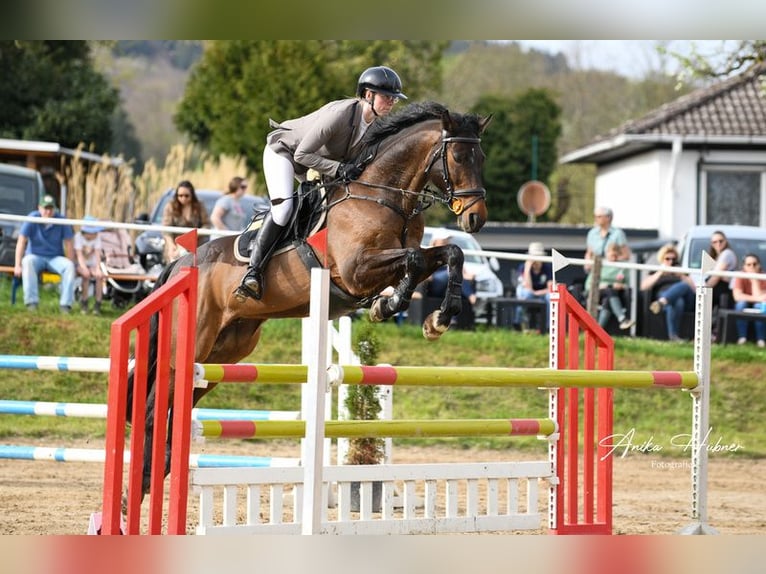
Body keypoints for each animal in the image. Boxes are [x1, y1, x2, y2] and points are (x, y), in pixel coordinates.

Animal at [129, 101, 492, 498]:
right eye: (458, 156)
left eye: (481, 157)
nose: (476, 219)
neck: (384, 195)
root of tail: (178, 265)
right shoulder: (355, 270)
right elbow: (412, 260)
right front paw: (390, 305)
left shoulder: (401, 258)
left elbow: (449, 253)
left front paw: (436, 318)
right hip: (188, 348)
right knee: (154, 408)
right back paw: (137, 490)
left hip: (222, 353)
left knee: (178, 405)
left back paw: (150, 478)